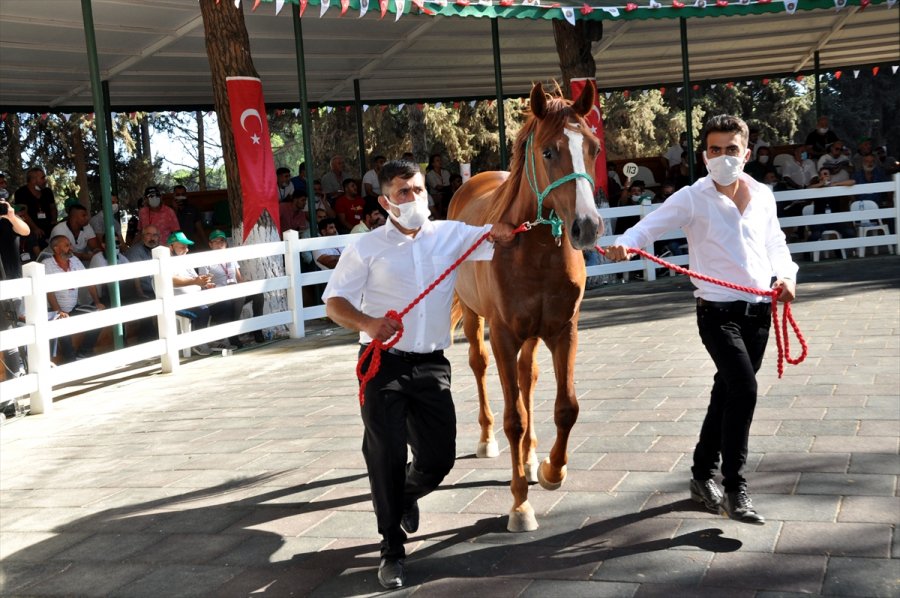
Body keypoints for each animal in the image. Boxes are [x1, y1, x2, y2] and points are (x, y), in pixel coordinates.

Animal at [450, 81, 604, 536]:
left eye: (593, 148)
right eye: (549, 151)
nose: (587, 227)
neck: (531, 247)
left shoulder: (563, 330)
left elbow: (566, 408)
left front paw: (553, 469)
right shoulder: (503, 334)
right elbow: (513, 417)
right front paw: (519, 505)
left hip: (533, 335)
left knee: (526, 377)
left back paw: (533, 458)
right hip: (475, 319)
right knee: (481, 367)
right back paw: (487, 441)